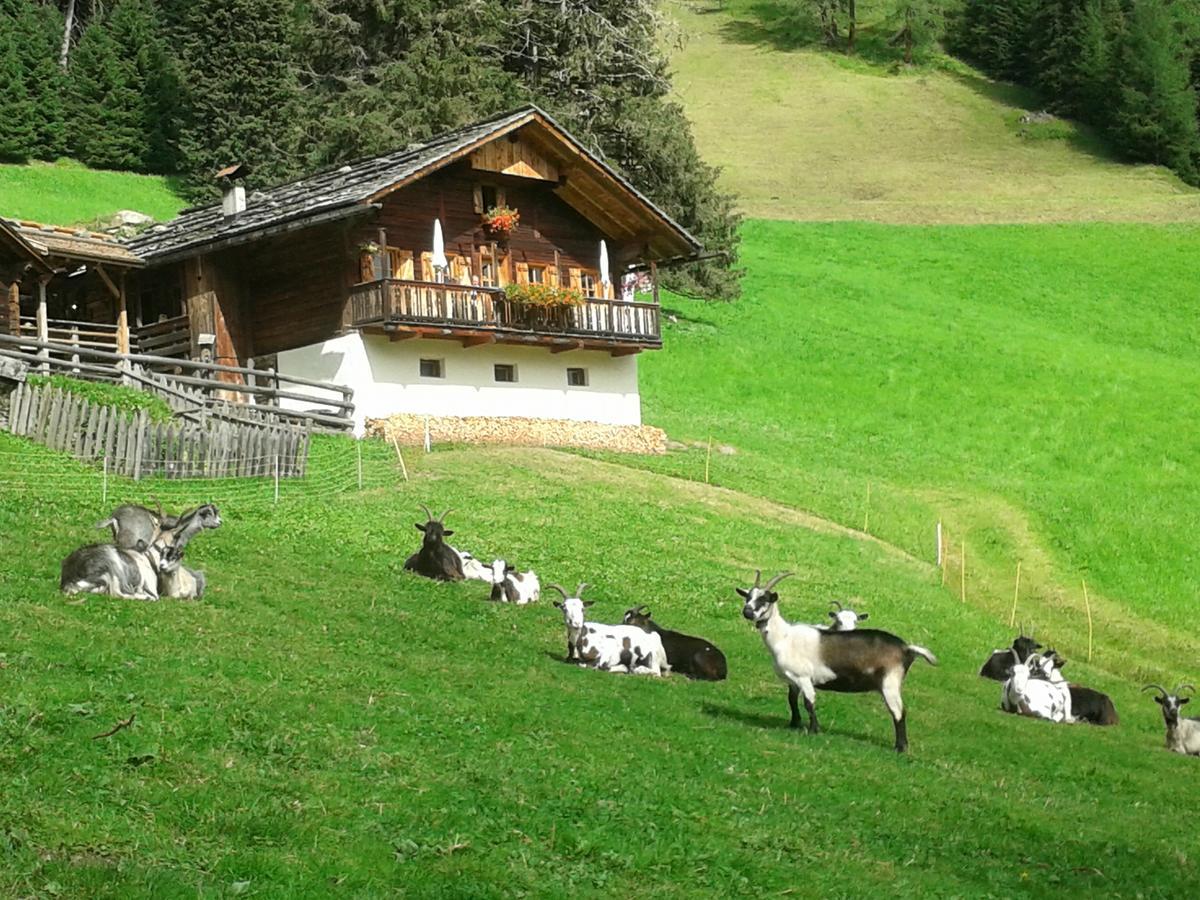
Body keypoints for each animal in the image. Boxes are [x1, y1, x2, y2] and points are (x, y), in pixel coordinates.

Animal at [739, 571, 936, 753]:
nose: (747, 611)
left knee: (899, 712)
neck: (785, 637)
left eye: (764, 599)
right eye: (748, 597)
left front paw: (814, 730)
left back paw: (900, 748)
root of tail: (906, 648)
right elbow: (792, 700)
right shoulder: (793, 679)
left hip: (890, 682)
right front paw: (794, 724)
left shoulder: (804, 676)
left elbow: (809, 702)